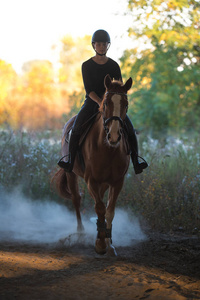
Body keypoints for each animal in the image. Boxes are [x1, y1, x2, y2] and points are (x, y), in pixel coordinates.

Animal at [53, 74, 132, 254]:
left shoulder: (117, 182)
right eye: (106, 103)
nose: (114, 136)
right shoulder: (91, 181)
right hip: (71, 173)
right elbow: (100, 208)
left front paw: (109, 243)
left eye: (125, 104)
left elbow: (109, 211)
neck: (108, 149)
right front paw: (100, 244)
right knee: (76, 199)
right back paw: (81, 233)